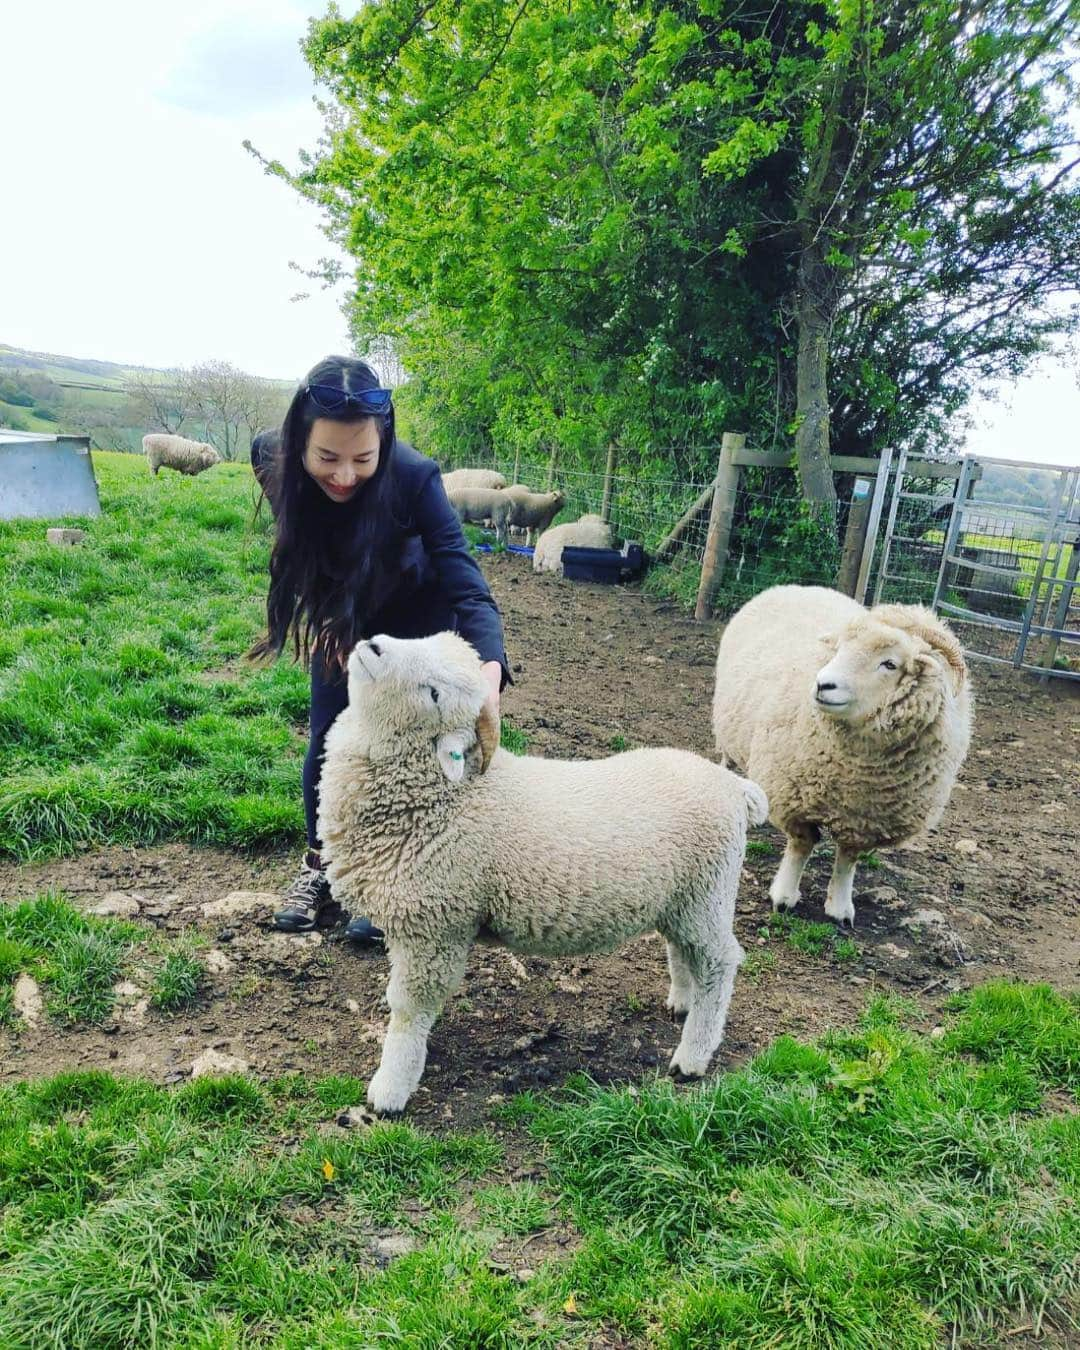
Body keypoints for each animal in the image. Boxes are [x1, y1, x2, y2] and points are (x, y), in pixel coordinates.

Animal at [315, 626, 761, 1112]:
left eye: (433, 694)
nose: (373, 645)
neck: (443, 796)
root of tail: (735, 787)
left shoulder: (434, 928)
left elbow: (409, 1010)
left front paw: (390, 1087)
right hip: (681, 899)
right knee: (684, 950)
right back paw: (681, 1001)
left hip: (708, 893)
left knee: (720, 963)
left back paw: (693, 1054)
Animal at [712, 588, 972, 928]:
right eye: (840, 649)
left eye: (890, 664)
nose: (823, 684)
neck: (858, 770)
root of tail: (795, 586)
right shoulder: (794, 796)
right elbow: (802, 844)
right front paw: (783, 897)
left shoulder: (865, 820)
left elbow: (848, 858)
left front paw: (840, 908)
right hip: (728, 730)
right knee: (727, 763)